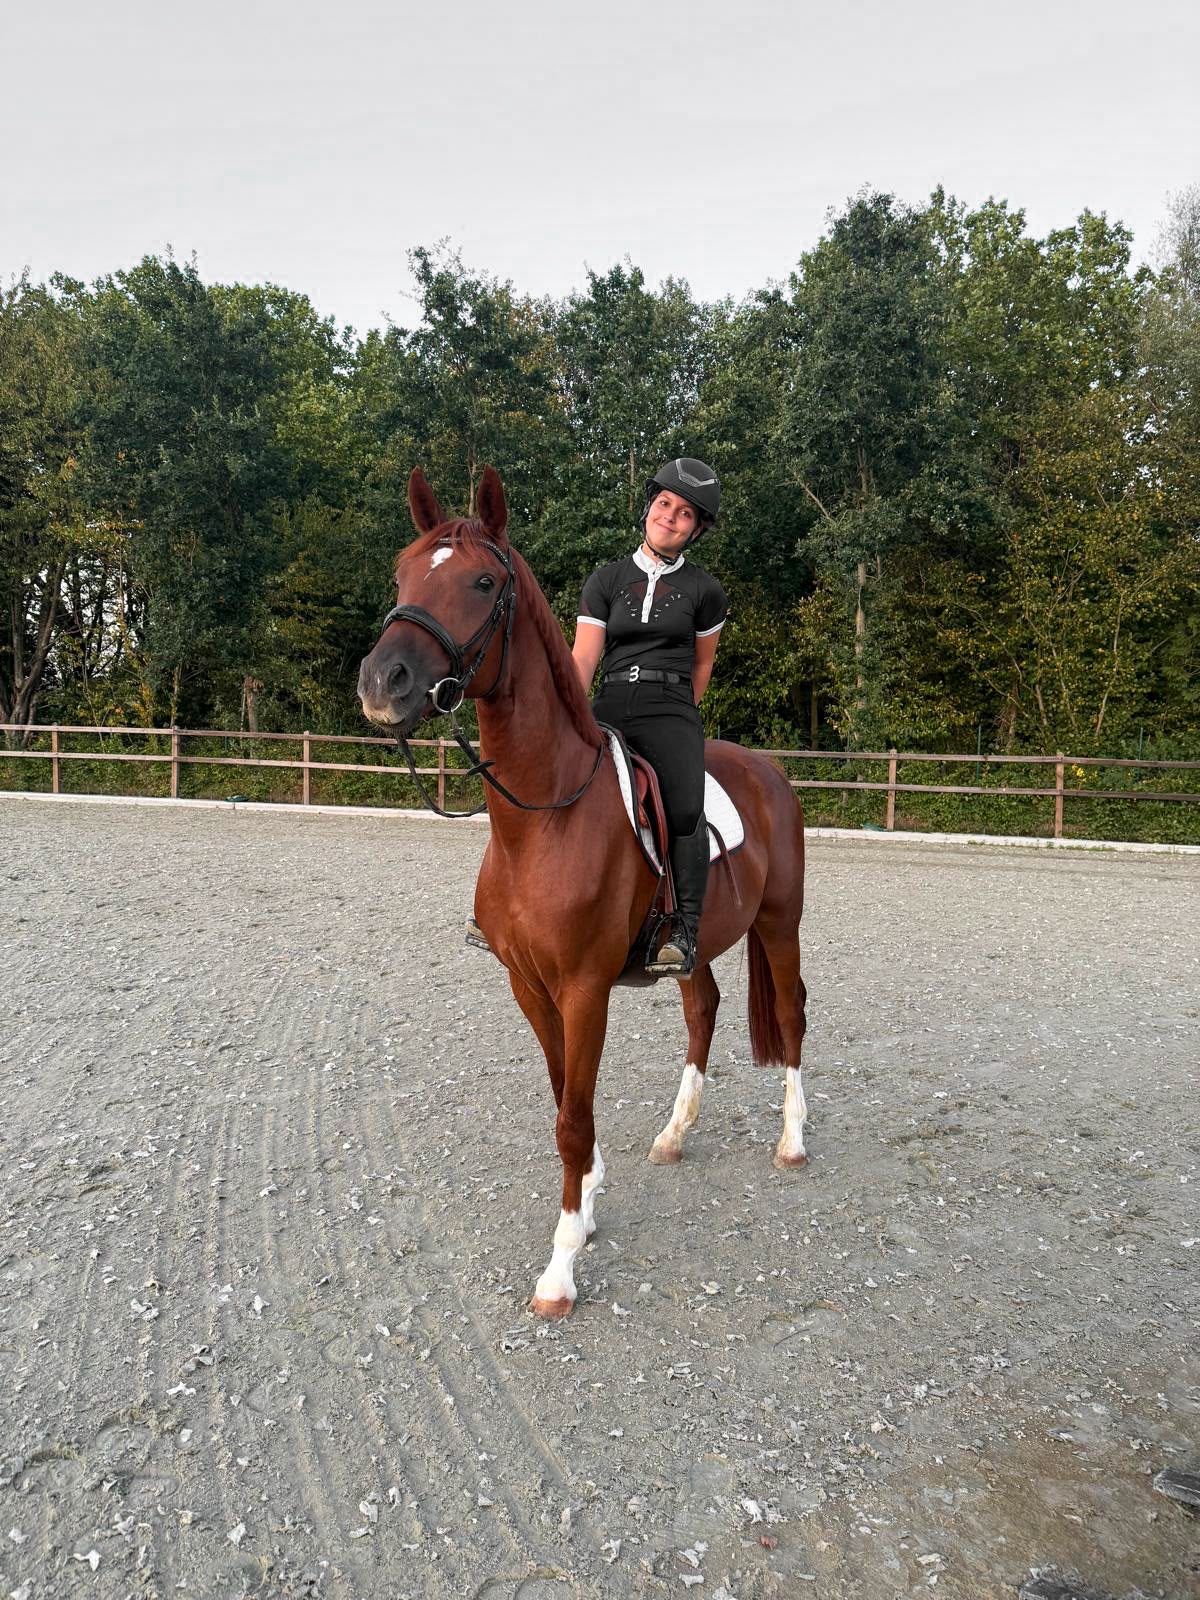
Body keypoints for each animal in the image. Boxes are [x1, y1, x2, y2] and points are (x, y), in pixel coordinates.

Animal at [357, 466, 809, 1318]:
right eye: (401, 574)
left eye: (482, 582)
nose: (382, 682)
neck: (544, 815)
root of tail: (768, 770)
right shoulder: (529, 986)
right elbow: (563, 1094)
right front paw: (590, 1199)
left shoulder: (584, 987)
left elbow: (573, 1115)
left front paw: (561, 1267)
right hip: (696, 945)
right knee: (703, 1010)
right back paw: (674, 1135)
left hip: (779, 922)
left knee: (793, 1018)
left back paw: (793, 1143)